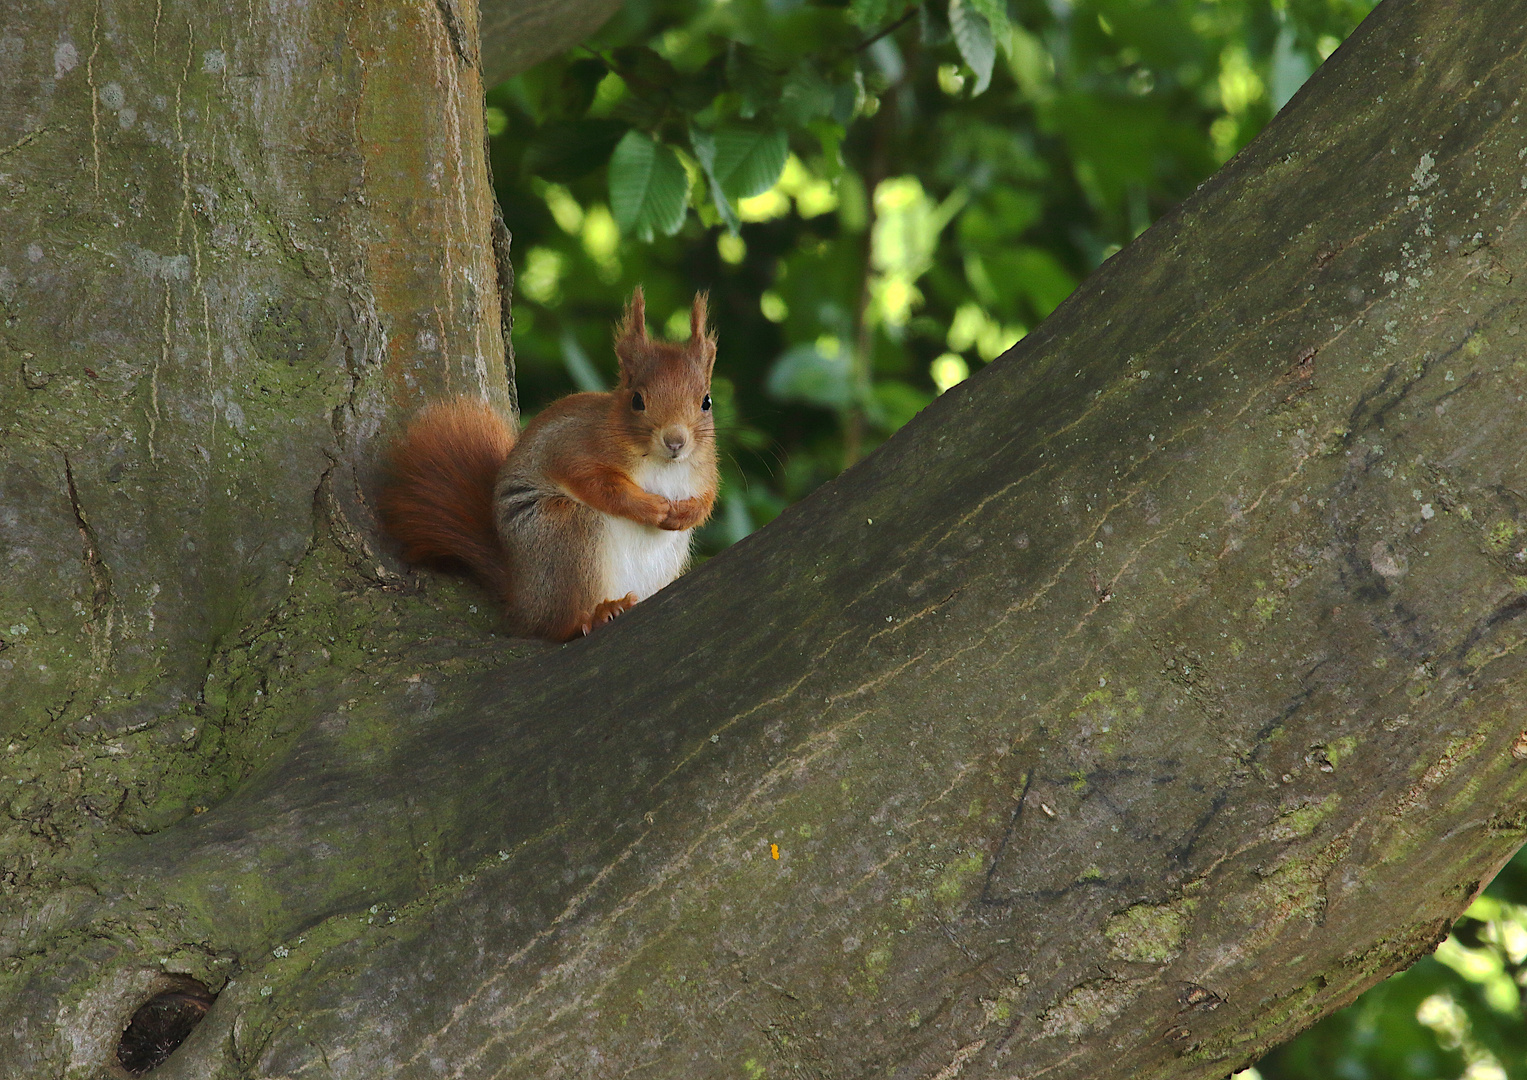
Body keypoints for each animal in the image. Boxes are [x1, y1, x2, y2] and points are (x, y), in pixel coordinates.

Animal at [378, 287, 717, 641]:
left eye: (706, 402)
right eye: (637, 400)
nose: (675, 441)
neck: (663, 463)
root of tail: (522, 599)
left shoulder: (704, 470)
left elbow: (707, 498)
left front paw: (687, 513)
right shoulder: (573, 447)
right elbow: (597, 484)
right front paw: (651, 507)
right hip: (565, 534)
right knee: (556, 625)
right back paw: (595, 615)